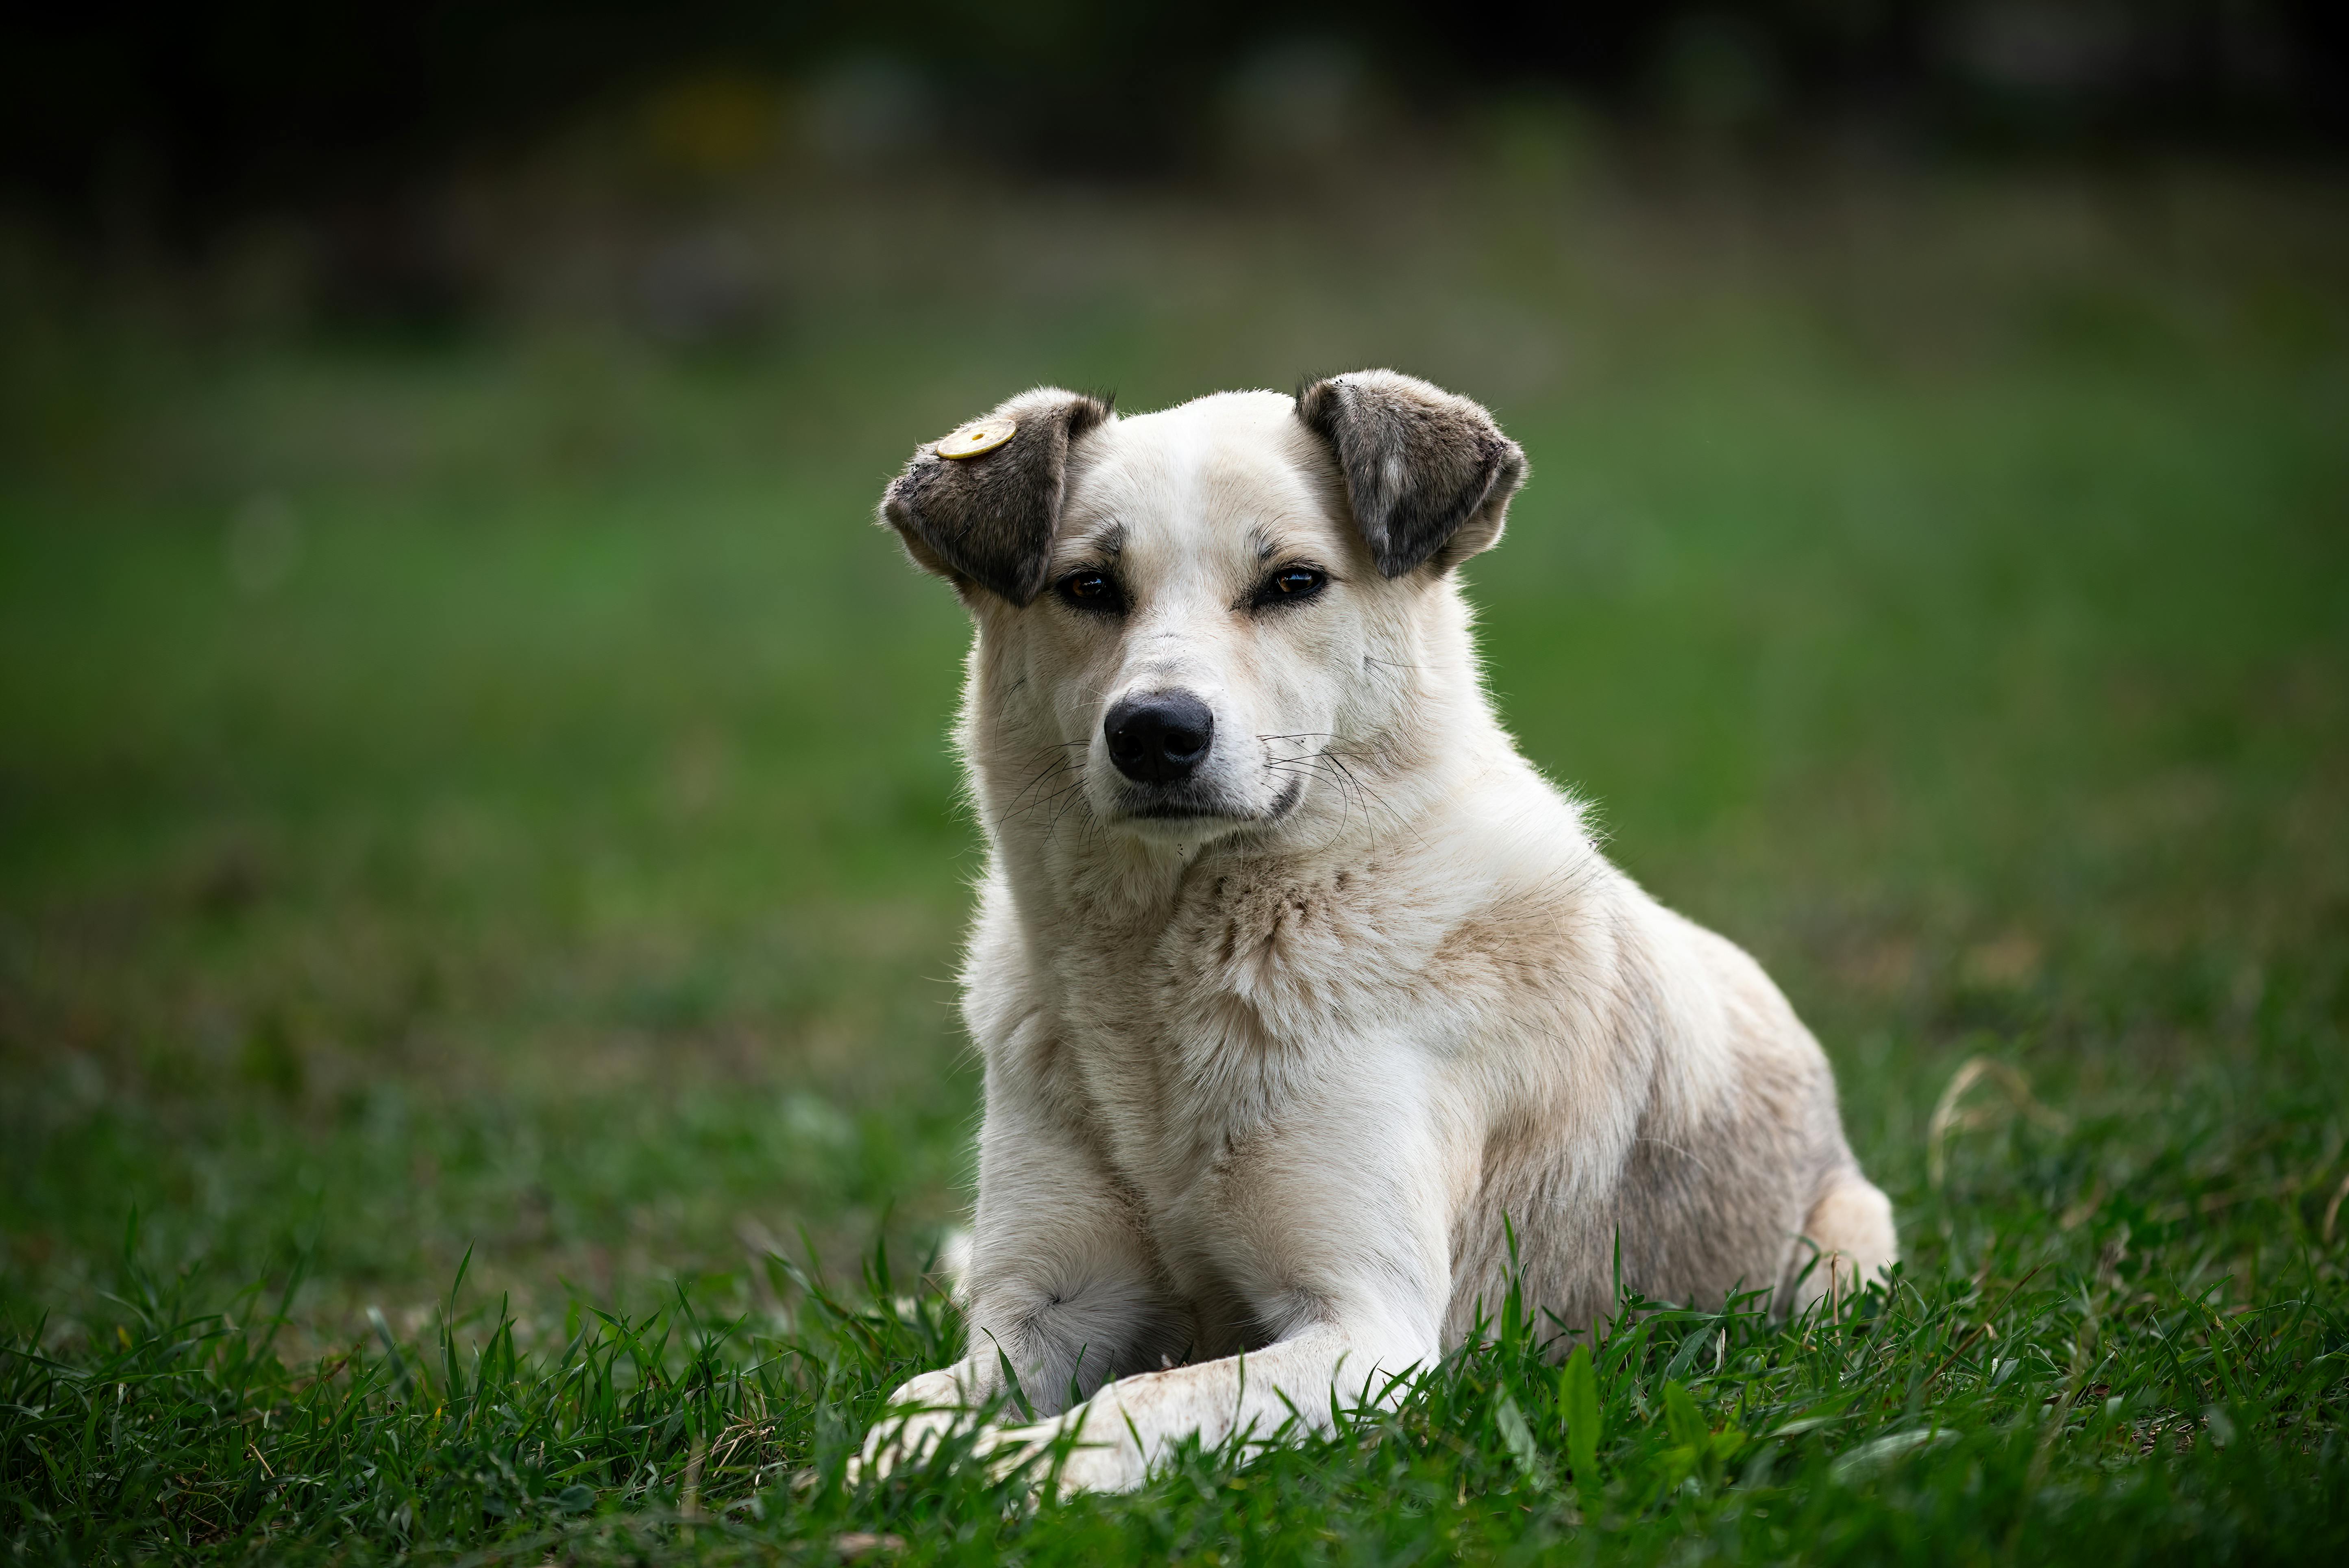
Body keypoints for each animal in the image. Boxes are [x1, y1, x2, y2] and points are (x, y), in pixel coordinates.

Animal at [855, 371, 1898, 1495]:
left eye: (1292, 581)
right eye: (1087, 586)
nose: (1155, 732)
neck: (1162, 973)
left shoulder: (1367, 1332)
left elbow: (1139, 1400)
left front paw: (1012, 1470)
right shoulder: (1045, 1306)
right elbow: (924, 1395)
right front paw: (915, 1454)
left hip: (1847, 1259)